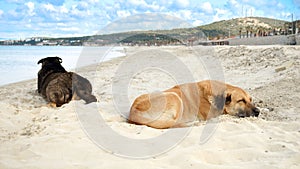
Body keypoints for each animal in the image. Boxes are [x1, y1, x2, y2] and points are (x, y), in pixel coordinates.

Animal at [129, 80, 260, 129]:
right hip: (174, 96)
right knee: (174, 124)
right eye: (241, 100)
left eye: (250, 99)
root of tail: (133, 112)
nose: (258, 112)